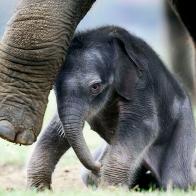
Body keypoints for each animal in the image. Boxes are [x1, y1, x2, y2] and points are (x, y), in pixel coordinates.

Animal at [27, 25, 196, 190]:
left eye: (95, 87)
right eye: (54, 87)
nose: (98, 166)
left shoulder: (141, 85)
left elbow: (143, 125)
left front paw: (111, 188)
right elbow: (57, 128)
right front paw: (39, 189)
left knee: (178, 181)